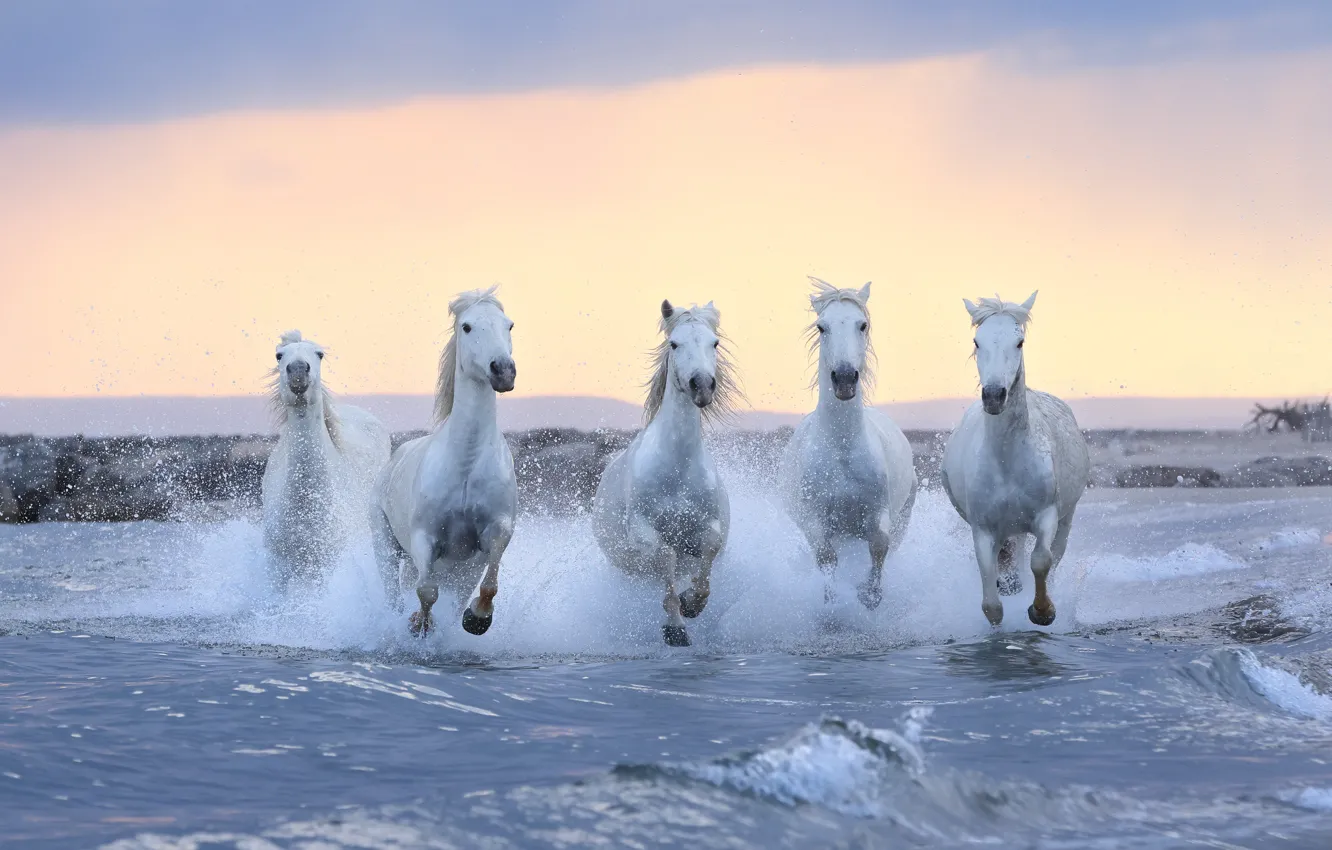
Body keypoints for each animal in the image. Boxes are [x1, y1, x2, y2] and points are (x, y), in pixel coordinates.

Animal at [374, 287, 518, 638]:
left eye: (509, 325)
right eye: (466, 326)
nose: (503, 370)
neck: (465, 463)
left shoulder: (496, 531)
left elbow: (489, 586)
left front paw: (477, 618)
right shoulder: (424, 537)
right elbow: (427, 591)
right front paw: (420, 626)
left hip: (462, 568)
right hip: (385, 546)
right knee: (394, 592)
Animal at [591, 299, 741, 647]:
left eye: (715, 343)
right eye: (674, 344)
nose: (702, 386)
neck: (677, 468)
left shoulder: (709, 528)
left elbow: (707, 553)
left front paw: (692, 603)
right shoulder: (643, 531)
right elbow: (666, 556)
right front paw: (675, 627)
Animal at [778, 278, 917, 609]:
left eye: (862, 324)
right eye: (821, 327)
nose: (843, 379)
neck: (842, 449)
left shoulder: (878, 515)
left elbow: (879, 546)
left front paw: (870, 595)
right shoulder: (816, 522)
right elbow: (826, 558)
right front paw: (833, 602)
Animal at [940, 292, 1090, 627]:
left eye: (1019, 342)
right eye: (977, 341)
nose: (994, 396)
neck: (1006, 461)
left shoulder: (1047, 515)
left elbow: (1042, 560)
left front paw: (1043, 611)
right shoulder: (982, 529)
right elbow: (991, 603)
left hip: (1066, 518)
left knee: (1054, 555)